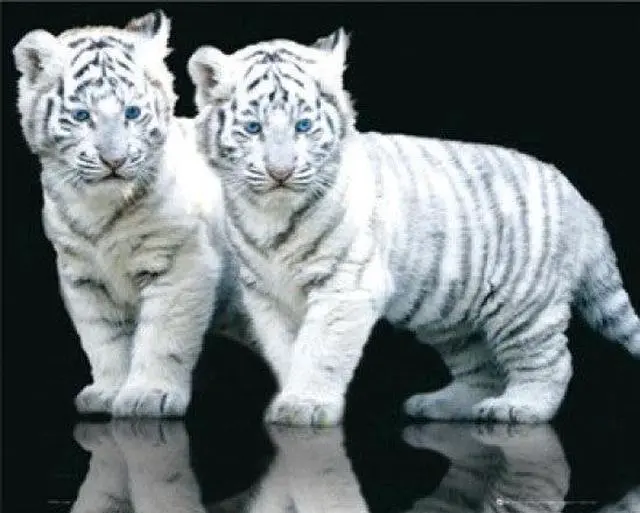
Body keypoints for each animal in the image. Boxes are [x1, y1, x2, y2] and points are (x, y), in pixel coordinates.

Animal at [12, 10, 246, 418]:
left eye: (132, 113)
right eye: (81, 116)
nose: (114, 160)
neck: (99, 211)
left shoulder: (181, 261)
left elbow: (162, 333)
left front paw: (149, 395)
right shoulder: (82, 275)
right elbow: (102, 338)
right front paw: (107, 391)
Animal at [187, 28, 640, 427]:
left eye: (303, 127)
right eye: (253, 129)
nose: (280, 173)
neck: (271, 214)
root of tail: (579, 199)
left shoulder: (345, 286)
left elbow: (321, 350)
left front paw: (307, 404)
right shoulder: (266, 294)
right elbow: (286, 350)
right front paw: (290, 396)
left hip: (524, 305)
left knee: (551, 362)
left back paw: (520, 407)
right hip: (454, 317)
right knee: (482, 369)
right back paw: (440, 405)